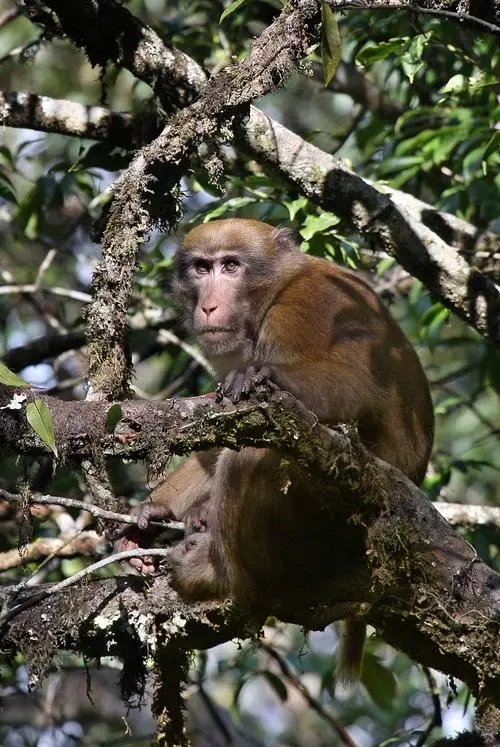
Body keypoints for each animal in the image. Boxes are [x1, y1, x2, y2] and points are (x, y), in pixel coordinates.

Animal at [122, 218, 434, 688]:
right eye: (202, 268)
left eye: (231, 266)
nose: (208, 307)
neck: (278, 287)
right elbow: (226, 429)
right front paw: (157, 511)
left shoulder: (303, 310)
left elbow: (354, 388)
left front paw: (266, 375)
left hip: (333, 524)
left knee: (259, 454)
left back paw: (223, 576)